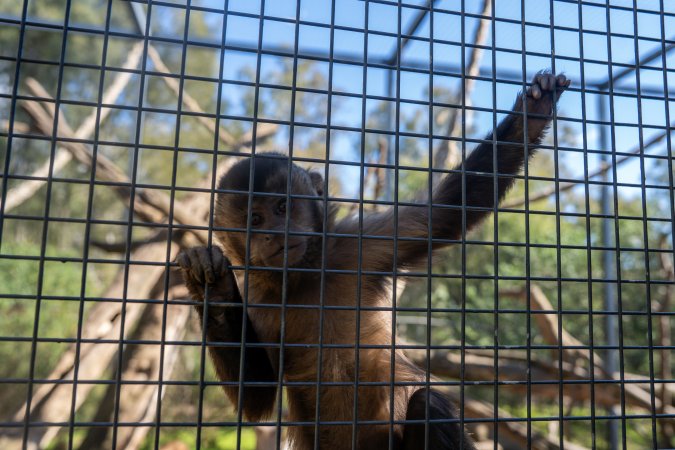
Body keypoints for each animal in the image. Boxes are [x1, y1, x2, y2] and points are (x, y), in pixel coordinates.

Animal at [177, 71, 570, 449]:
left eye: (282, 207)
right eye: (255, 220)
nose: (274, 233)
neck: (307, 275)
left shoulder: (359, 245)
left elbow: (442, 214)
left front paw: (533, 113)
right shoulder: (260, 298)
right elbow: (255, 398)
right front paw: (213, 287)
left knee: (426, 404)